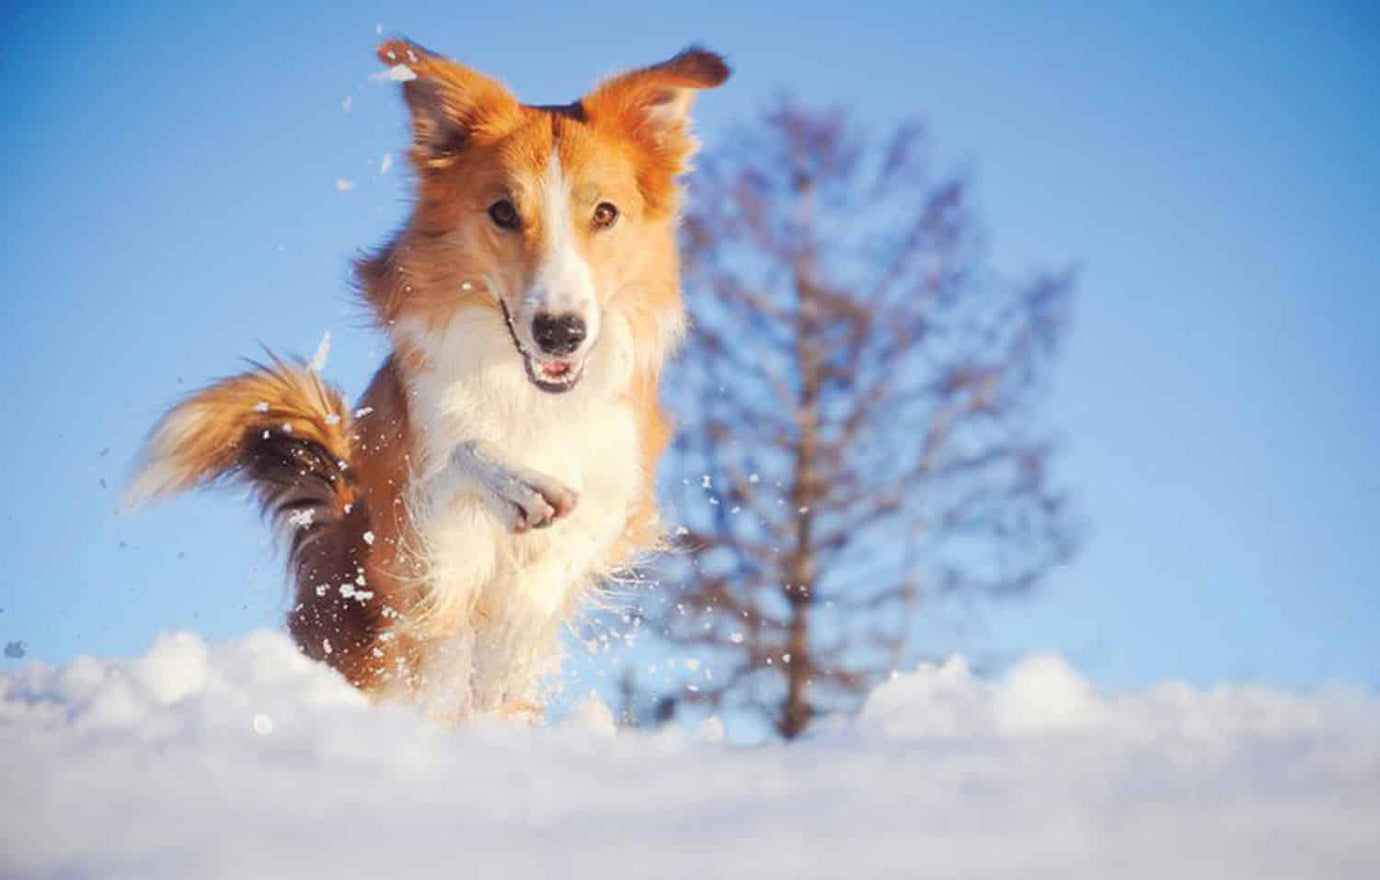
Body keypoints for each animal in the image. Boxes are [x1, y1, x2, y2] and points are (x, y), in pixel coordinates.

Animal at [130, 37, 734, 722]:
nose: (561, 332)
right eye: (503, 212)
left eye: (605, 214)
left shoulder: (617, 494)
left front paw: (513, 635)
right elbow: (459, 460)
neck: (533, 399)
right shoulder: (415, 526)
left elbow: (542, 584)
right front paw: (514, 486)